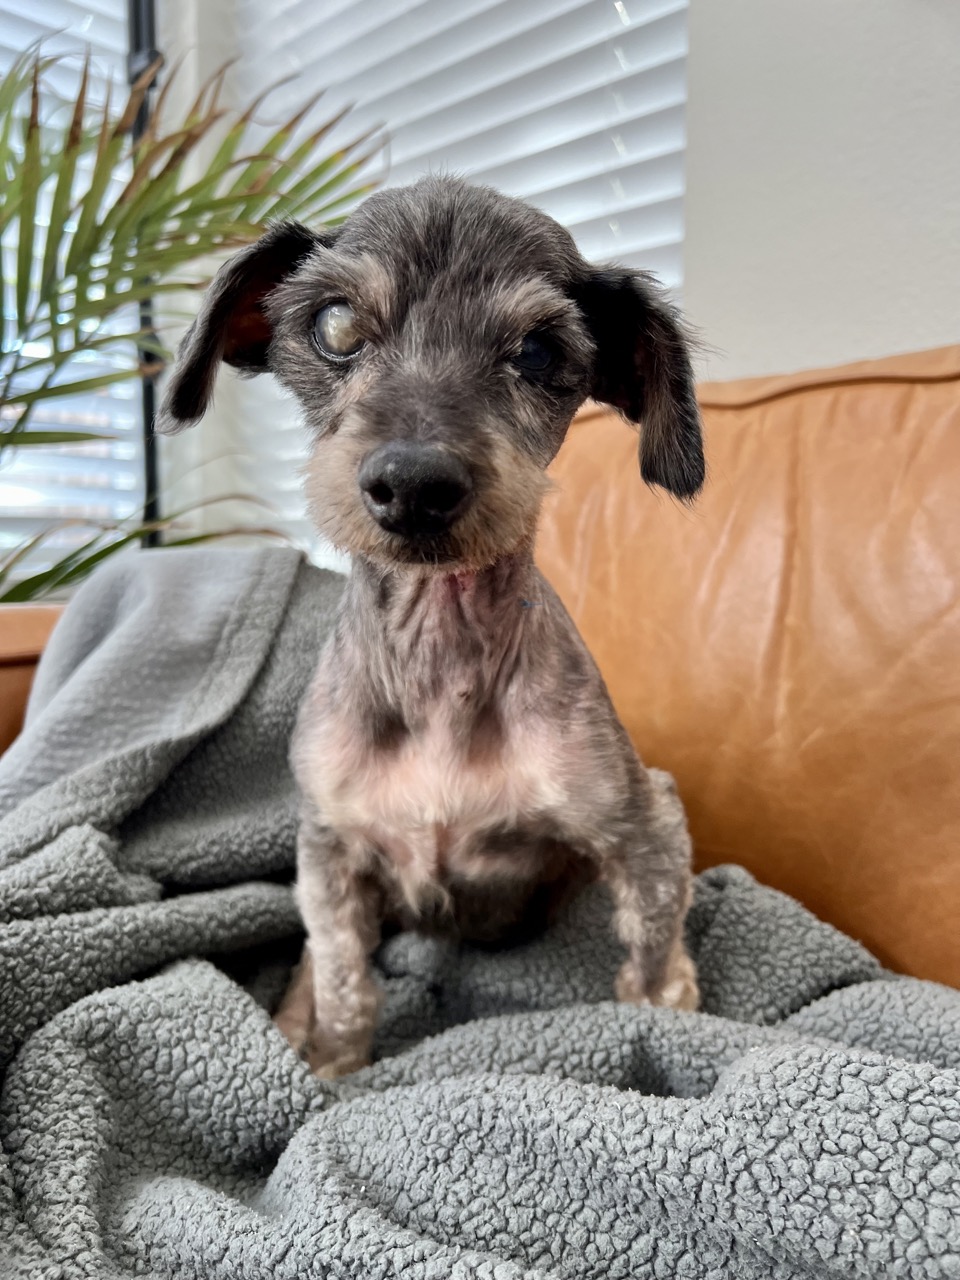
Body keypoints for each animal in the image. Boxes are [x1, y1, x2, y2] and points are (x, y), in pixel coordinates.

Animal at [154, 177, 701, 1080]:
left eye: (540, 351)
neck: (440, 652)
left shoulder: (640, 820)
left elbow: (653, 955)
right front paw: (333, 1067)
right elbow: (344, 981)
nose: (413, 483)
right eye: (336, 325)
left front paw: (670, 1007)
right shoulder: (330, 848)